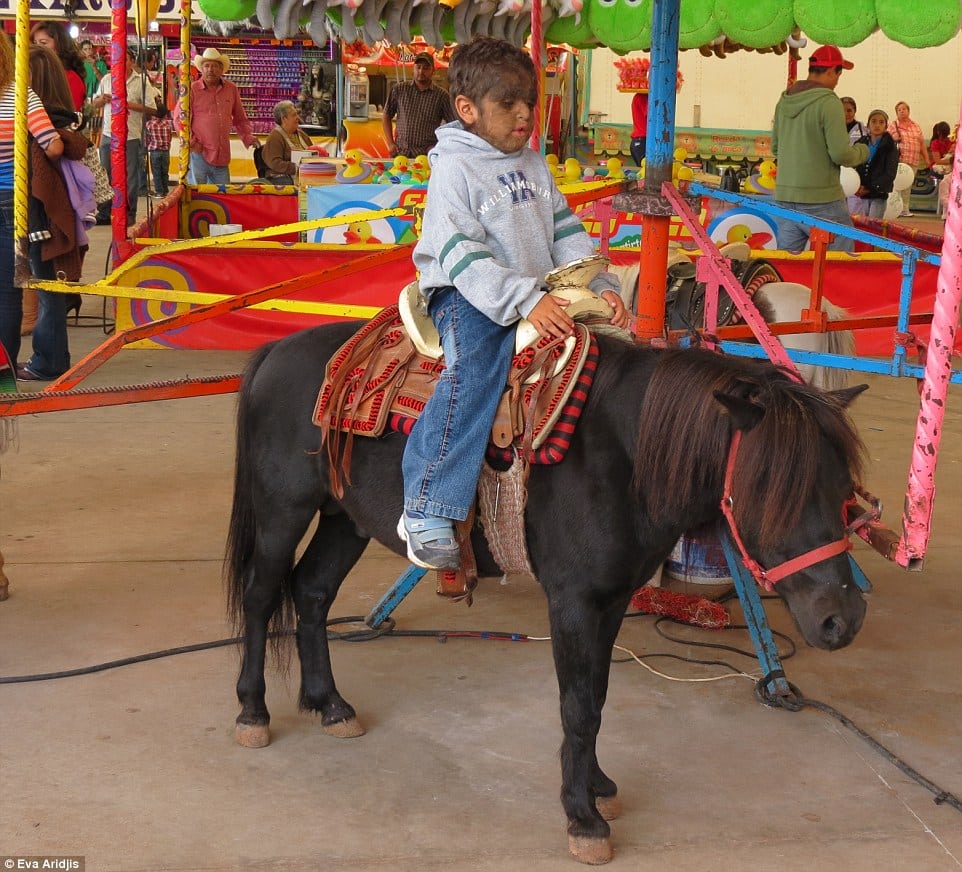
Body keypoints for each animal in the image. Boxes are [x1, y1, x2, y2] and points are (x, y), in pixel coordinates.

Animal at [227, 322, 872, 864]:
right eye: (771, 488)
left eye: (844, 488)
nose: (843, 620)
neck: (621, 452)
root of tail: (274, 353)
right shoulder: (573, 601)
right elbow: (577, 705)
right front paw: (582, 817)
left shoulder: (612, 599)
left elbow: (599, 697)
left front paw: (598, 787)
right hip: (284, 511)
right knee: (262, 597)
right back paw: (254, 712)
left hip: (344, 519)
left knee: (311, 593)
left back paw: (330, 705)